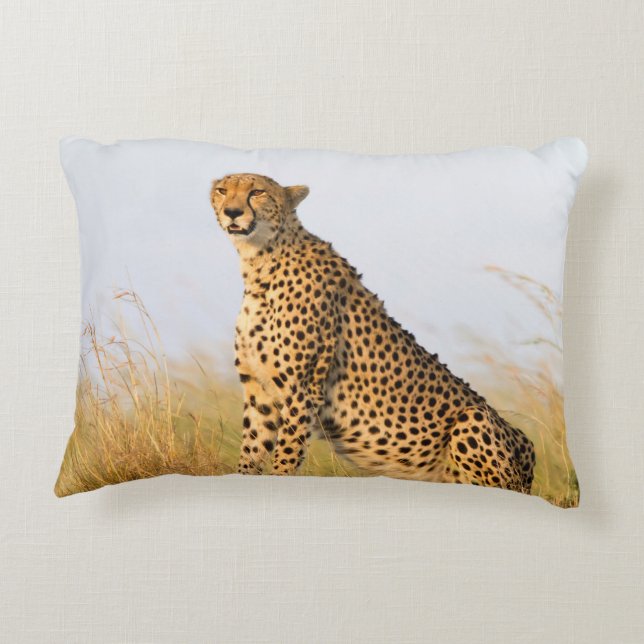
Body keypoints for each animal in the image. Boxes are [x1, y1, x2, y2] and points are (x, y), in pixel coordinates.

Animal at [210, 173, 536, 494]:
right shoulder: (258, 391)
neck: (259, 262)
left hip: (474, 419)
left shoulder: (302, 390)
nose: (232, 212)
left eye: (257, 192)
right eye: (223, 190)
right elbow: (251, 453)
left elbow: (286, 457)